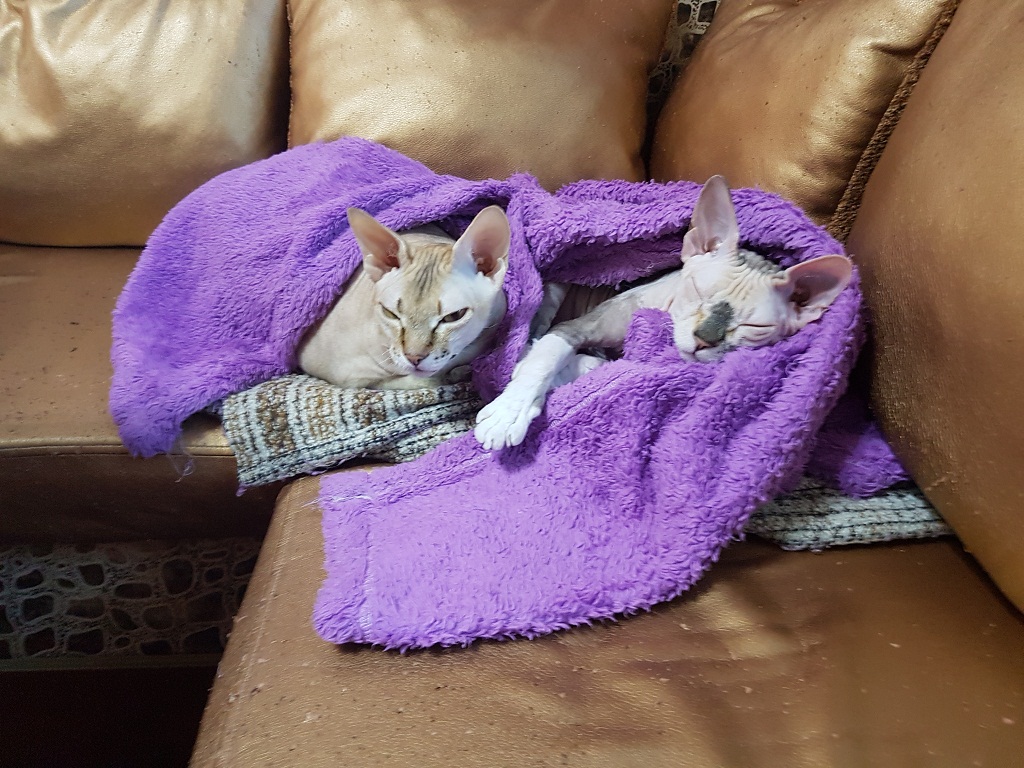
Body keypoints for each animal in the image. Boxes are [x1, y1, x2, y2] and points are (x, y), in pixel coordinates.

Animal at [297, 205, 510, 390]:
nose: (414, 357)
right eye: (390, 313)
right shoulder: (349, 377)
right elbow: (417, 380)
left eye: (454, 316)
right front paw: (457, 375)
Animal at [474, 175, 853, 450]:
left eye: (754, 326)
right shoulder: (578, 325)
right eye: (697, 290)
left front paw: (575, 369)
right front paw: (508, 412)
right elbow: (545, 358)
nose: (704, 339)